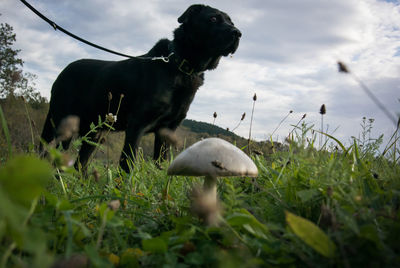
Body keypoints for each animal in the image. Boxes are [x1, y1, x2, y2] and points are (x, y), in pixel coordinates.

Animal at [40, 4, 241, 172]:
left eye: (231, 21)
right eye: (213, 18)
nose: (238, 33)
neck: (180, 66)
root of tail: (62, 73)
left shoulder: (167, 130)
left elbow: (161, 164)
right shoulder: (137, 125)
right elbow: (127, 165)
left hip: (95, 133)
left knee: (79, 165)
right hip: (59, 124)